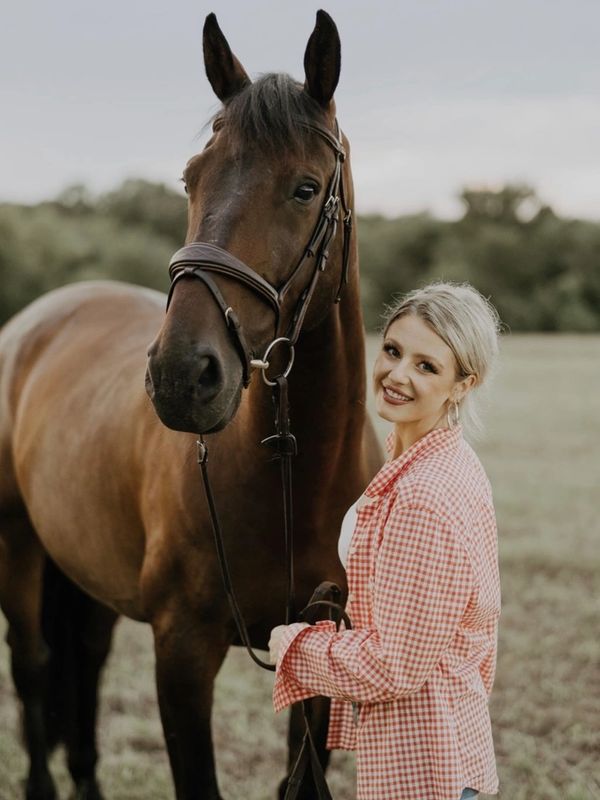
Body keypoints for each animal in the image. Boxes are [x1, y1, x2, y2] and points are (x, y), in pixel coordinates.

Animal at [0, 10, 380, 800]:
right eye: (190, 178)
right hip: (16, 546)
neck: (295, 477)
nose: (181, 375)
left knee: (84, 665)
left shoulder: (326, 650)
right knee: (34, 668)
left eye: (304, 189)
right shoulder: (181, 653)